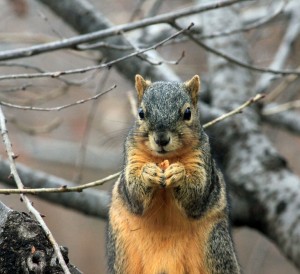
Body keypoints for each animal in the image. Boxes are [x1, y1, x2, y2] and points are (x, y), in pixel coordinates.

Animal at [106, 75, 240, 274]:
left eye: (188, 113)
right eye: (141, 113)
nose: (161, 139)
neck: (165, 158)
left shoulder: (202, 158)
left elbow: (197, 195)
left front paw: (179, 173)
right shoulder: (132, 155)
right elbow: (134, 195)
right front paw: (148, 173)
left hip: (215, 247)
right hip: (122, 254)